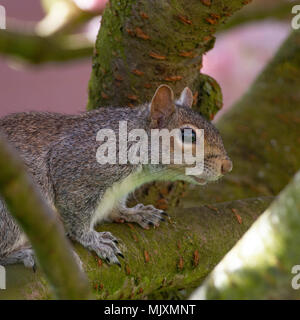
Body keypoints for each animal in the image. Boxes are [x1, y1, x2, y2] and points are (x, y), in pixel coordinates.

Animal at [0, 84, 232, 268]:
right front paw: (94, 240)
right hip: (12, 213)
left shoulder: (116, 192)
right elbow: (76, 216)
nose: (227, 166)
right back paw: (24, 254)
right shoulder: (76, 173)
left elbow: (114, 209)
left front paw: (135, 212)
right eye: (188, 135)